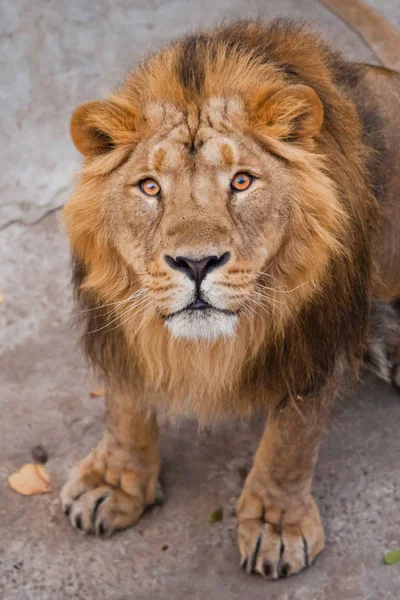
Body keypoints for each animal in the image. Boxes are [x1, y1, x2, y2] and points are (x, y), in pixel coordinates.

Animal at [60, 21, 400, 580]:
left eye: (241, 181)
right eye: (149, 187)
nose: (197, 264)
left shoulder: (314, 345)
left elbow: (290, 441)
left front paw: (276, 524)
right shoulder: (120, 327)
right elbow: (126, 403)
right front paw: (113, 482)